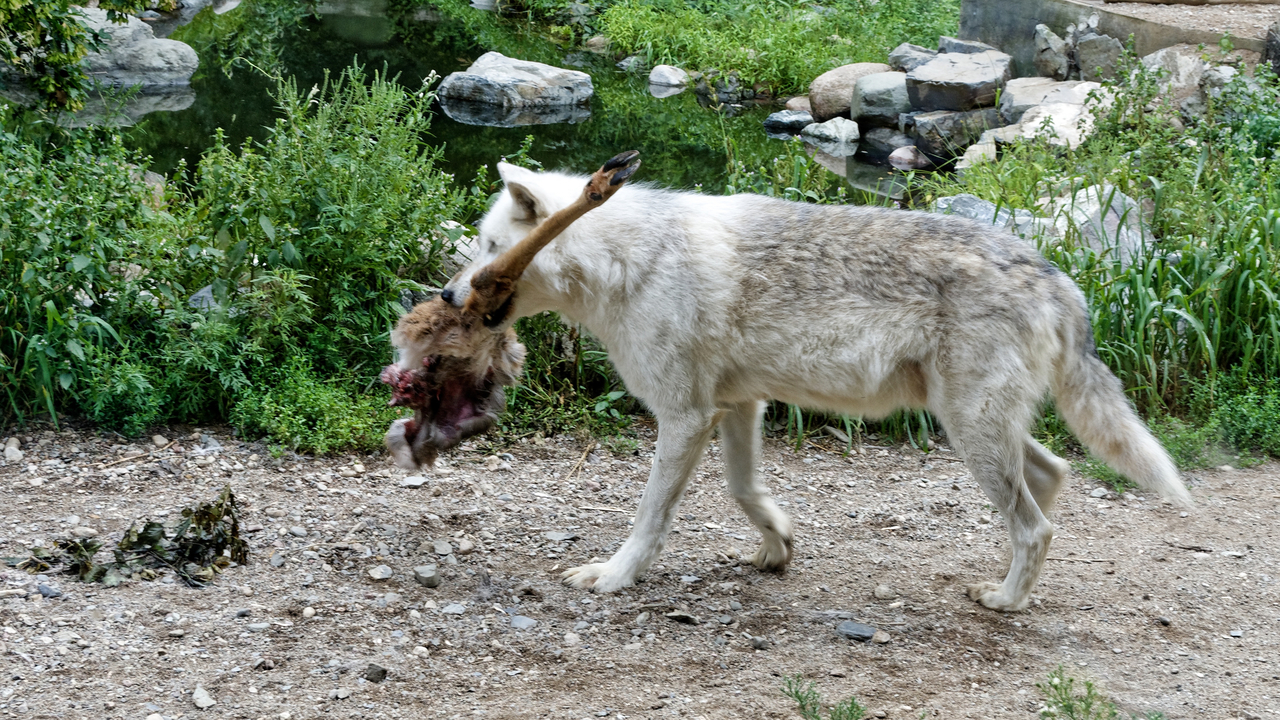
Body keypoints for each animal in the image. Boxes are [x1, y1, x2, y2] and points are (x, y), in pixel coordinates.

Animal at [432, 162, 1191, 612]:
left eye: (489, 247)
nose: (446, 294)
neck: (629, 259)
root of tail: (1058, 277)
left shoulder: (684, 415)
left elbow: (650, 518)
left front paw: (615, 577)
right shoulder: (738, 405)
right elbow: (745, 490)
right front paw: (777, 546)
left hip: (969, 429)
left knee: (1037, 523)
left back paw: (1006, 600)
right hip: (975, 426)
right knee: (1053, 475)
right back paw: (1018, 585)